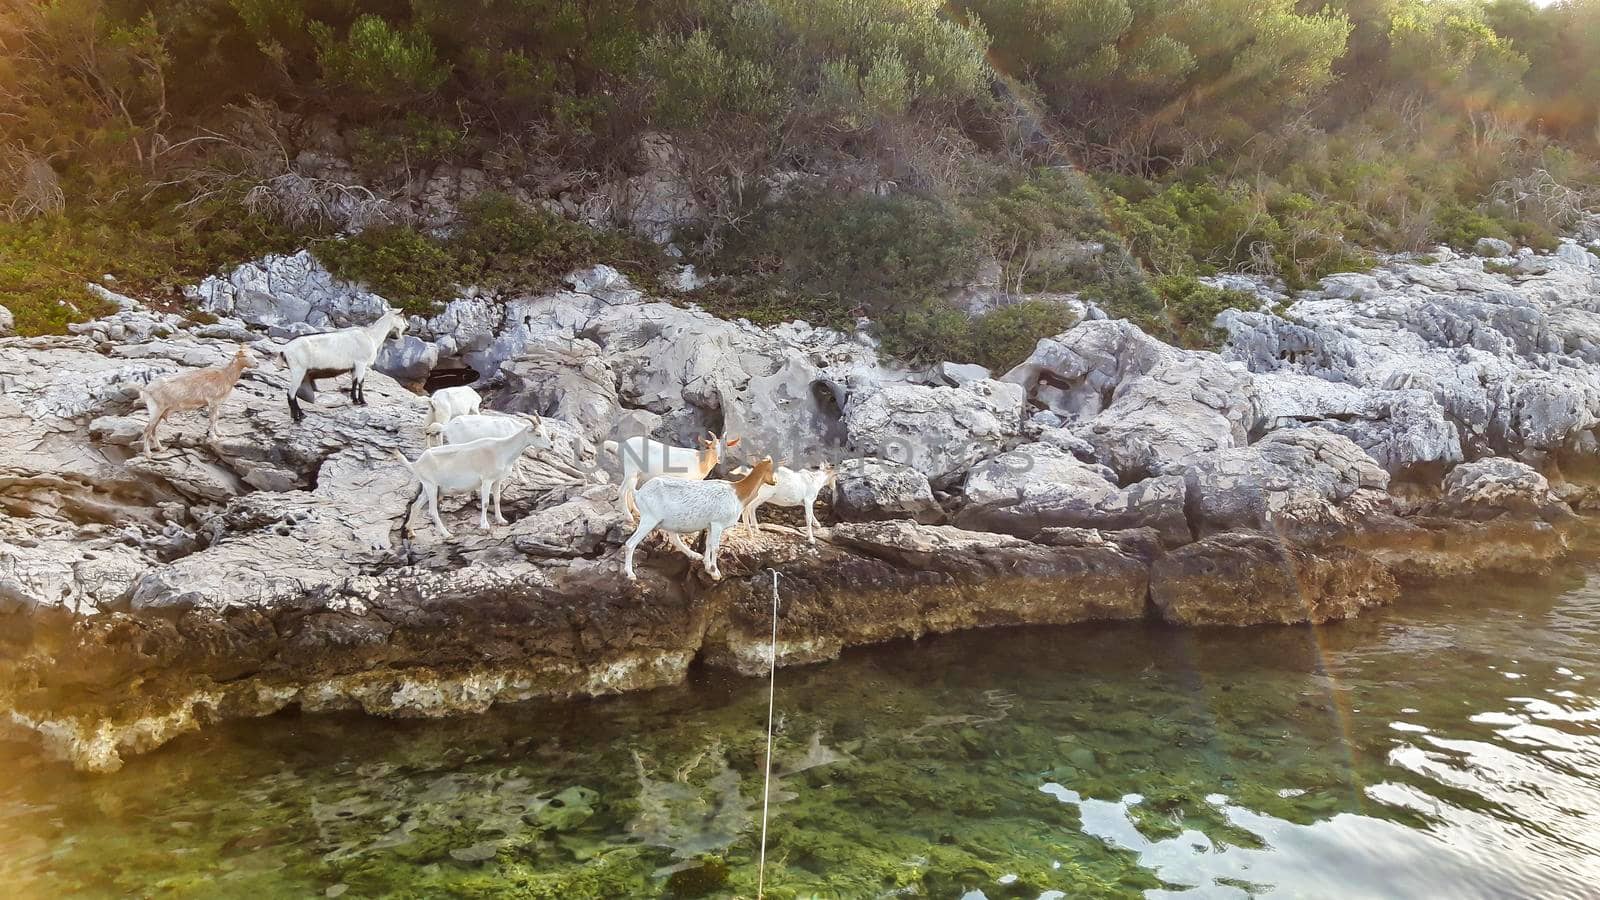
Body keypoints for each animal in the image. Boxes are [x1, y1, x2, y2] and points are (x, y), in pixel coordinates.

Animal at [393, 422, 550, 534]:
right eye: (537, 434)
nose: (551, 446)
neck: (501, 450)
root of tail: (416, 464)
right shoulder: (486, 480)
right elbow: (486, 502)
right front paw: (484, 526)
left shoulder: (497, 480)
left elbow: (497, 499)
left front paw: (501, 520)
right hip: (431, 486)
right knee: (432, 511)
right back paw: (447, 534)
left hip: (429, 487)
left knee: (415, 506)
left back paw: (411, 531)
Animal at [601, 429, 739, 515]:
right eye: (712, 447)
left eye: (725, 448)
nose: (720, 459)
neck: (700, 460)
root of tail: (621, 446)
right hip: (631, 469)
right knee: (622, 490)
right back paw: (629, 517)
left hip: (636, 474)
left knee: (630, 490)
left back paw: (636, 512)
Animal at [620, 458, 777, 576]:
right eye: (772, 469)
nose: (775, 482)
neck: (738, 493)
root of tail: (639, 492)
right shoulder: (718, 524)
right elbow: (715, 547)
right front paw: (715, 572)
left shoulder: (710, 525)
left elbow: (708, 544)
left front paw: (707, 566)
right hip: (649, 519)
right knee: (630, 544)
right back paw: (630, 574)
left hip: (666, 521)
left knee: (674, 538)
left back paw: (694, 555)